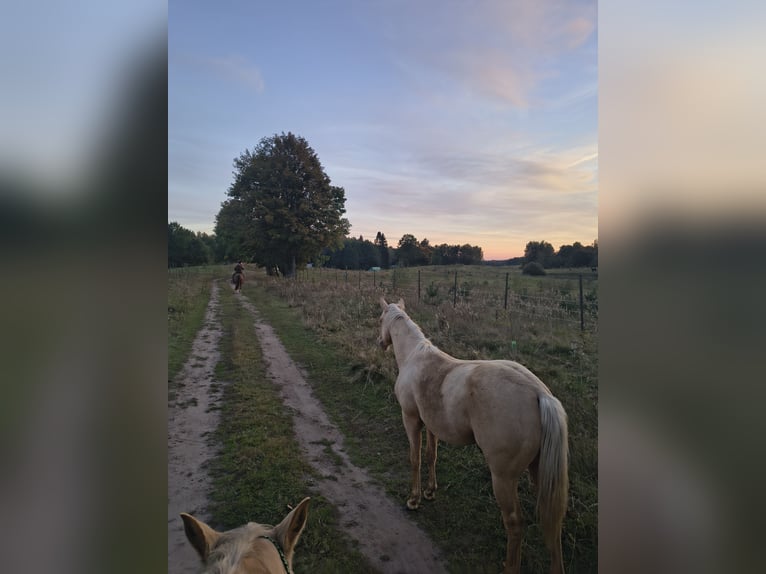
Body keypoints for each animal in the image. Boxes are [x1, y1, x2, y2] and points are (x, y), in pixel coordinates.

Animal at [377, 298, 569, 574]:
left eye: (380, 319)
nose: (379, 343)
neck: (414, 357)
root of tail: (539, 394)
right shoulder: (432, 426)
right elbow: (431, 456)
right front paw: (430, 491)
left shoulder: (411, 420)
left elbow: (415, 459)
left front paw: (414, 499)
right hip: (539, 473)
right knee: (552, 525)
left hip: (503, 478)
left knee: (515, 523)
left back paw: (509, 566)